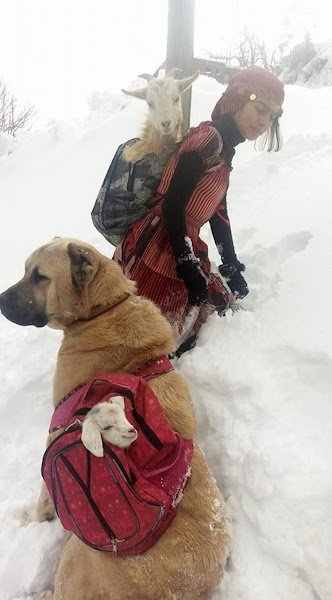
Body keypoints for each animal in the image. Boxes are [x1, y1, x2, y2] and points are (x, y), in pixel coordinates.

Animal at [0, 239, 230, 600]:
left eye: (39, 276)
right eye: (25, 270)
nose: (0, 301)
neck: (105, 309)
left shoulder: (56, 435)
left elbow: (43, 499)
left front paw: (29, 521)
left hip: (76, 559)